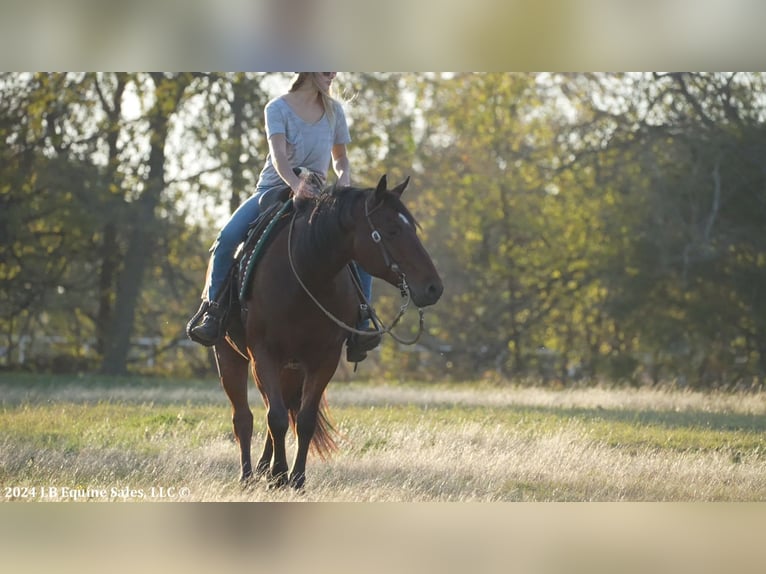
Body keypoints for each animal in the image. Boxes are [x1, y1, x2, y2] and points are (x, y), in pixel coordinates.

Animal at [214, 176, 444, 490]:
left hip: (290, 369)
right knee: (244, 417)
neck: (305, 272)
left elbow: (304, 420)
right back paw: (249, 476)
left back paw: (264, 469)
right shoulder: (264, 355)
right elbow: (276, 419)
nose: (434, 288)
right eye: (392, 230)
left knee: (278, 409)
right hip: (230, 355)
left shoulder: (324, 359)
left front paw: (295, 479)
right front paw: (281, 475)